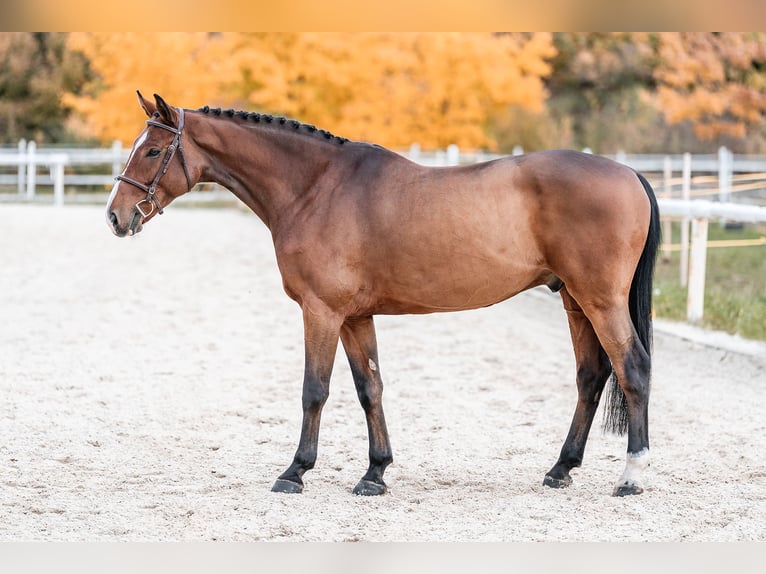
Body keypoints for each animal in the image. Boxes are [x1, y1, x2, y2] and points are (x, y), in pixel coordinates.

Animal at [106, 92, 660, 497]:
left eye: (153, 150)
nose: (116, 215)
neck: (315, 187)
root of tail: (629, 173)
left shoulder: (322, 312)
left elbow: (315, 389)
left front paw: (295, 471)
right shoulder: (355, 317)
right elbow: (368, 388)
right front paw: (375, 473)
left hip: (600, 300)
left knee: (632, 368)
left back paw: (631, 476)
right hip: (574, 300)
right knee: (591, 376)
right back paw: (560, 469)